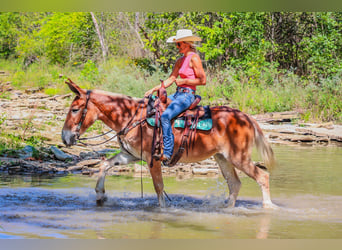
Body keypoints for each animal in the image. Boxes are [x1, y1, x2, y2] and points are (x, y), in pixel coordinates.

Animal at [60, 80, 276, 209]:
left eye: (75, 109)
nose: (65, 137)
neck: (131, 116)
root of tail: (245, 117)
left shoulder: (152, 159)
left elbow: (158, 187)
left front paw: (162, 212)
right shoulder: (131, 155)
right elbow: (104, 164)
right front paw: (100, 195)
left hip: (238, 157)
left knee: (262, 176)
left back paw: (267, 208)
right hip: (222, 158)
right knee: (234, 184)